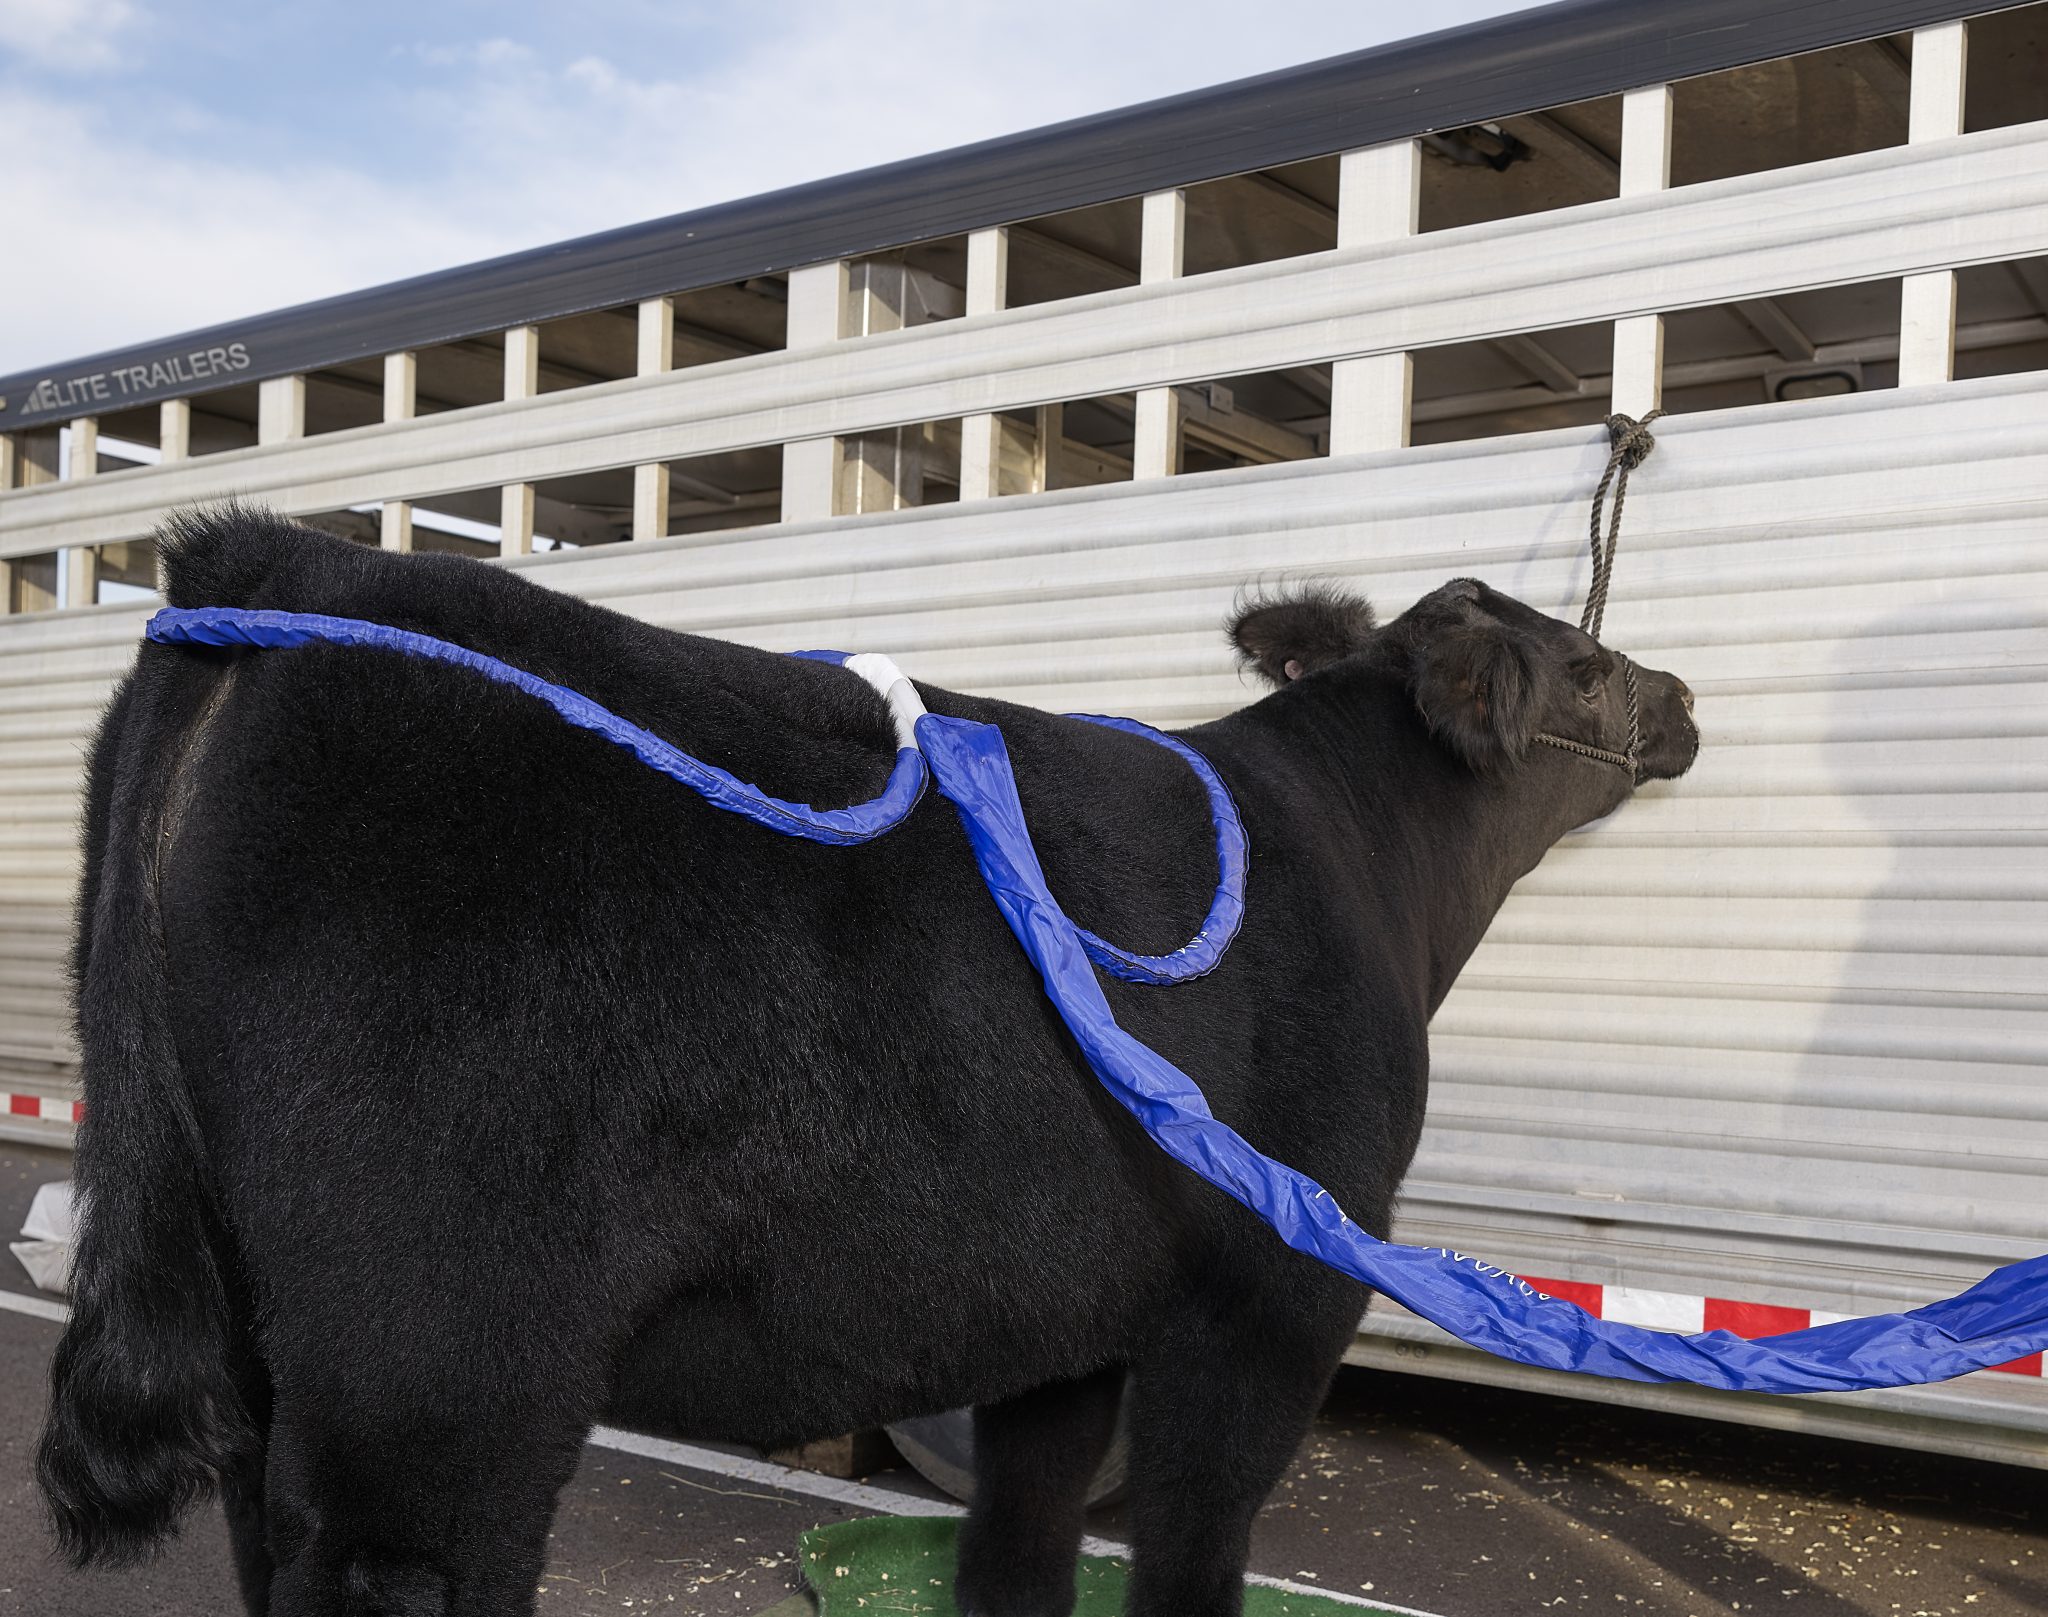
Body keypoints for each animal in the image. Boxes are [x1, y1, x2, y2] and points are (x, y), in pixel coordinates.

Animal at [44, 509, 1695, 1617]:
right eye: (1586, 667)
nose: (1681, 698)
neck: (1368, 861)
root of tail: (282, 567)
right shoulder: (1269, 1299)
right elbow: (1188, 1552)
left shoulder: (1061, 1320)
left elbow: (1019, 1554)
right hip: (441, 1341)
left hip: (263, 1326)